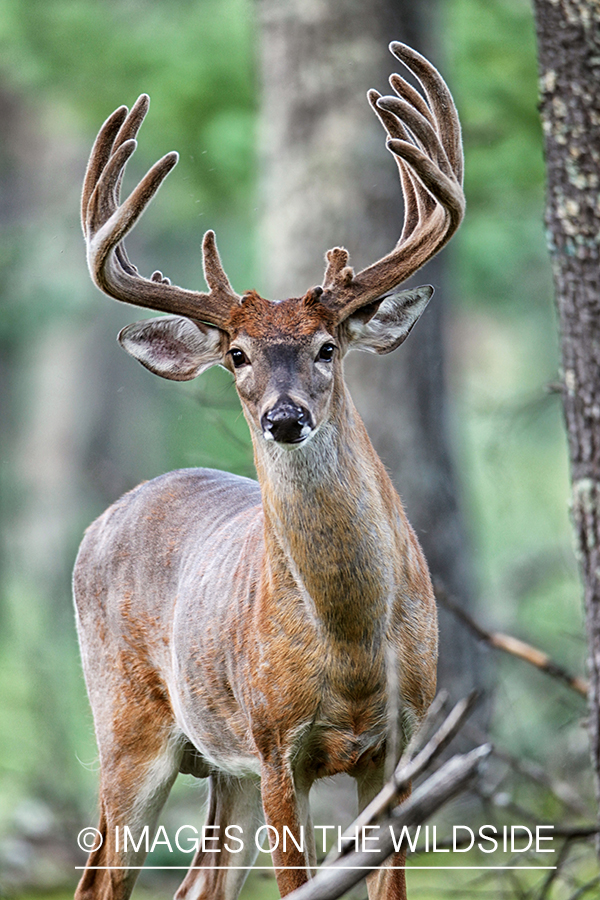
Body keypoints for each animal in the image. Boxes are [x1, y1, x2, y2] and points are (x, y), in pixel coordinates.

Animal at [74, 44, 464, 900]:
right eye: (237, 355)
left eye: (327, 346)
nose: (286, 419)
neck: (352, 643)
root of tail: (103, 518)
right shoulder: (279, 741)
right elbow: (301, 887)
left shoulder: (405, 741)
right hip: (128, 727)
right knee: (101, 878)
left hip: (226, 767)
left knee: (197, 885)